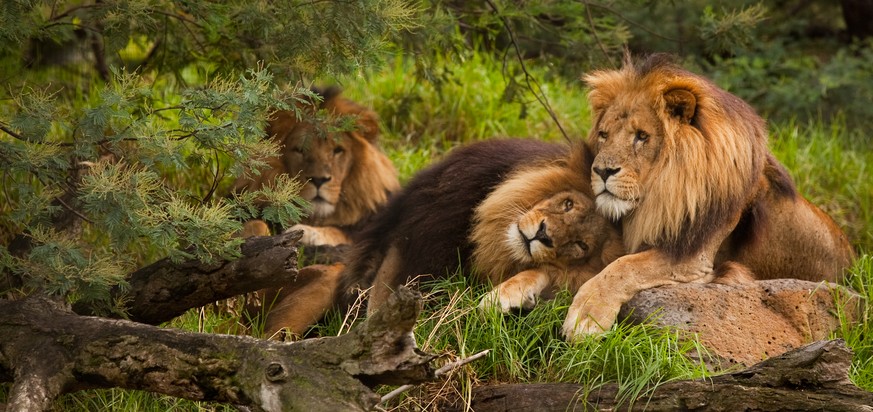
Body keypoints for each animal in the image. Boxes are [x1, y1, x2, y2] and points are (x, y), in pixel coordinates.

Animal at [228, 86, 398, 245]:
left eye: (338, 150)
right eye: (300, 150)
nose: (318, 180)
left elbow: (337, 232)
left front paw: (308, 233)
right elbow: (254, 224)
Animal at [564, 53, 856, 340]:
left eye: (642, 136)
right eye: (604, 135)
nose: (602, 171)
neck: (663, 193)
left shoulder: (693, 258)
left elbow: (625, 267)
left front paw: (585, 316)